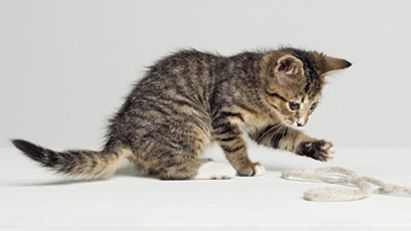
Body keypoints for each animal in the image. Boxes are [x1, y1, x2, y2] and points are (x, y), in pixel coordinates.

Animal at [11, 47, 352, 180]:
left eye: (312, 106)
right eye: (294, 104)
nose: (301, 119)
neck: (254, 85)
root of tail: (120, 133)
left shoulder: (266, 125)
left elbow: (286, 137)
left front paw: (316, 147)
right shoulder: (222, 115)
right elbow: (236, 146)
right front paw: (245, 167)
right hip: (191, 118)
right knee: (169, 169)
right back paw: (214, 169)